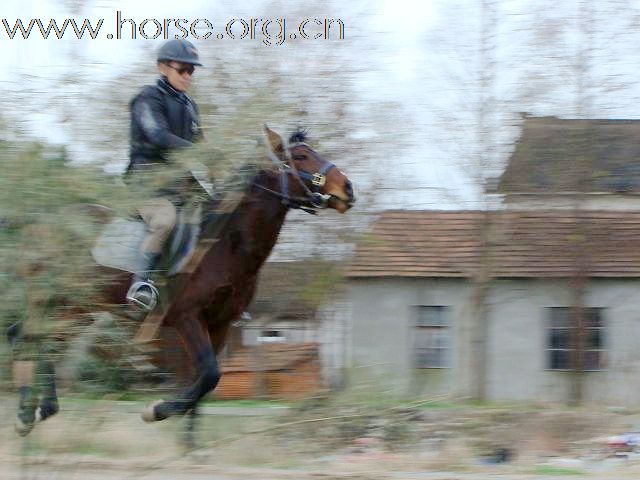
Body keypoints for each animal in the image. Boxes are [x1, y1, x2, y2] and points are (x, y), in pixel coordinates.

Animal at [12, 125, 356, 434]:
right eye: (300, 156)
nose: (348, 189)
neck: (225, 244)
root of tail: (41, 225)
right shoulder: (187, 316)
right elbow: (209, 374)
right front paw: (157, 410)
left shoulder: (220, 324)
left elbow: (204, 382)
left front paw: (188, 441)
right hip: (51, 300)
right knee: (27, 337)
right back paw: (26, 414)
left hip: (78, 308)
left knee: (46, 343)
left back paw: (43, 409)